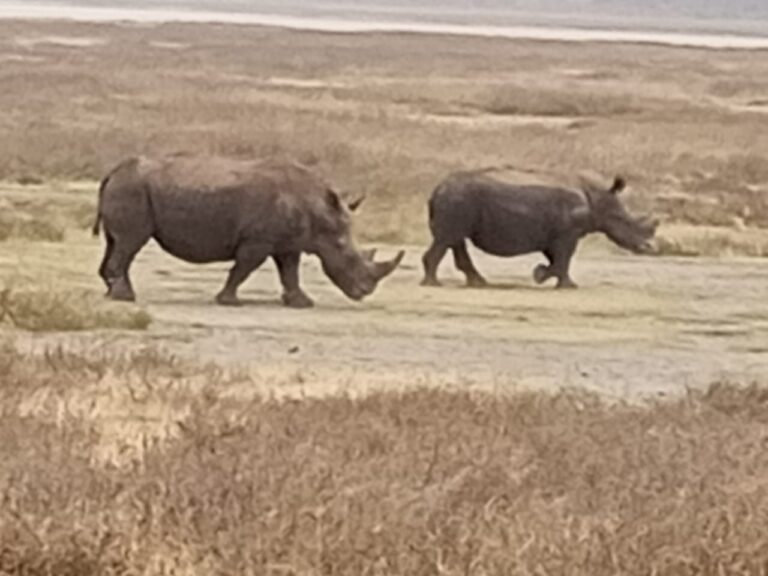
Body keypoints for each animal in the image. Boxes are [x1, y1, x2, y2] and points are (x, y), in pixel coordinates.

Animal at [93, 154, 404, 307]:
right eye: (343, 250)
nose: (365, 292)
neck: (319, 211)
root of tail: (113, 172)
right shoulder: (258, 240)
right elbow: (243, 269)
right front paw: (229, 302)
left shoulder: (288, 243)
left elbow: (290, 272)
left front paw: (302, 303)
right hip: (132, 189)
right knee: (130, 243)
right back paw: (125, 298)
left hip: (129, 188)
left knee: (115, 243)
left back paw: (112, 293)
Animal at [421, 170, 657, 288]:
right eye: (623, 220)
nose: (648, 248)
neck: (596, 199)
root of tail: (436, 190)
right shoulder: (567, 234)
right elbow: (563, 259)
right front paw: (549, 279)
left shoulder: (556, 235)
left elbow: (559, 259)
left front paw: (553, 279)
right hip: (457, 201)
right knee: (446, 240)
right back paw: (434, 284)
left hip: (458, 202)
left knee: (454, 240)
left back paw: (477, 283)